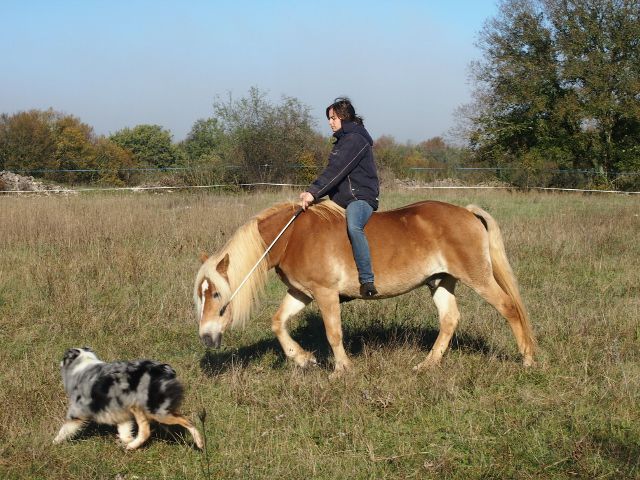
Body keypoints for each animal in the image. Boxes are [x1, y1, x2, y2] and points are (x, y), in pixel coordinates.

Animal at [54, 347, 204, 450]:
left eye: (64, 356)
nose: (58, 363)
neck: (83, 364)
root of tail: (165, 370)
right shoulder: (121, 413)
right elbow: (124, 430)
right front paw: (125, 440)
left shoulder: (78, 410)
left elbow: (65, 428)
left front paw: (54, 443)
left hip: (150, 409)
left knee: (159, 427)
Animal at [194, 199, 536, 375]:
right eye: (200, 295)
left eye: (217, 294)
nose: (206, 338)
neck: (291, 236)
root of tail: (467, 212)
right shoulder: (301, 293)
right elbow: (278, 323)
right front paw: (302, 358)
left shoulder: (325, 293)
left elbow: (333, 333)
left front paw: (341, 369)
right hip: (440, 281)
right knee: (449, 320)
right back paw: (426, 365)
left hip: (477, 277)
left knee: (510, 308)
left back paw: (527, 359)